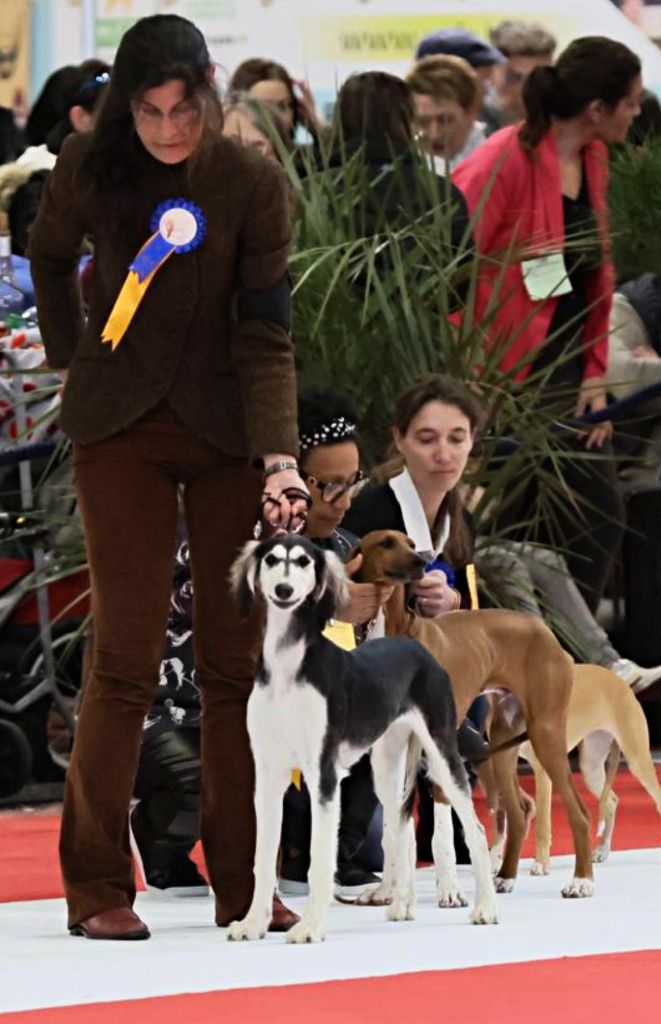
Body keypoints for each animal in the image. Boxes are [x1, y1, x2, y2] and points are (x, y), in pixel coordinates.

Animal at [226, 533, 498, 944]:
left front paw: (310, 927)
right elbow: (263, 858)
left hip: (441, 754)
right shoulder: (269, 775)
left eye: (304, 561)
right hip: (386, 765)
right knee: (400, 829)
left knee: (476, 828)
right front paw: (254, 923)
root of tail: (417, 645)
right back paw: (402, 905)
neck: (290, 670)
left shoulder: (323, 775)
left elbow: (321, 858)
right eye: (272, 559)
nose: (284, 590)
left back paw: (485, 908)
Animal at [354, 529, 593, 900]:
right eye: (387, 543)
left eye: (411, 543)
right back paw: (506, 876)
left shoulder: (438, 748)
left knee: (578, 812)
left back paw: (581, 882)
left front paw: (449, 891)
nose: (422, 561)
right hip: (503, 747)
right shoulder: (392, 749)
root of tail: (548, 633)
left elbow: (440, 829)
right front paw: (385, 892)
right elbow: (394, 828)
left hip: (545, 734)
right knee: (517, 811)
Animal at [488, 664, 661, 875]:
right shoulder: (500, 766)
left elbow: (543, 826)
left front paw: (541, 863)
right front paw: (494, 862)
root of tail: (617, 679)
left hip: (637, 759)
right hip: (591, 766)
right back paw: (602, 850)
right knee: (611, 800)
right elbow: (499, 821)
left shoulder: (542, 770)